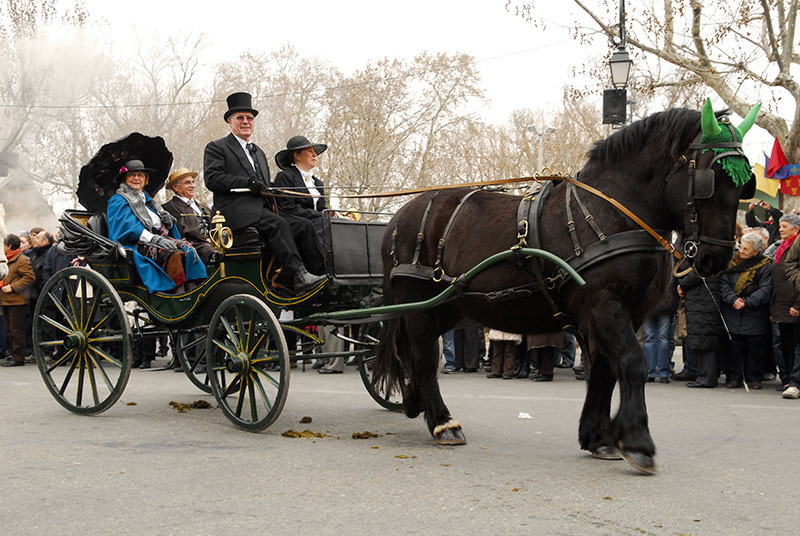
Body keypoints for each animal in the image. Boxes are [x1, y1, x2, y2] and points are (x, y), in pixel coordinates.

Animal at [372, 101, 760, 474]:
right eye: (710, 180)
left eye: (744, 185)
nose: (715, 257)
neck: (613, 212)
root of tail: (399, 216)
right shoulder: (604, 305)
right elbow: (631, 362)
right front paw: (636, 440)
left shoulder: (627, 312)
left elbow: (605, 371)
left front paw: (599, 436)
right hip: (419, 307)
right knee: (423, 357)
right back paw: (442, 421)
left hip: (448, 305)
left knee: (415, 354)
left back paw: (415, 400)